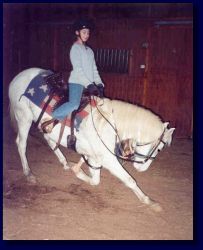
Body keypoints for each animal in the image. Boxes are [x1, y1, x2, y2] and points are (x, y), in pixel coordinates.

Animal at [8, 67, 175, 211]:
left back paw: (65, 163)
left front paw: (77, 170)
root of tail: (19, 77)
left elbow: (95, 181)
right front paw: (150, 202)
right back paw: (29, 174)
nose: (142, 169)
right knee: (21, 144)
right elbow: (129, 180)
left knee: (49, 140)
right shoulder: (108, 160)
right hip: (24, 118)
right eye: (159, 149)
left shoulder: (95, 157)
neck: (109, 123)